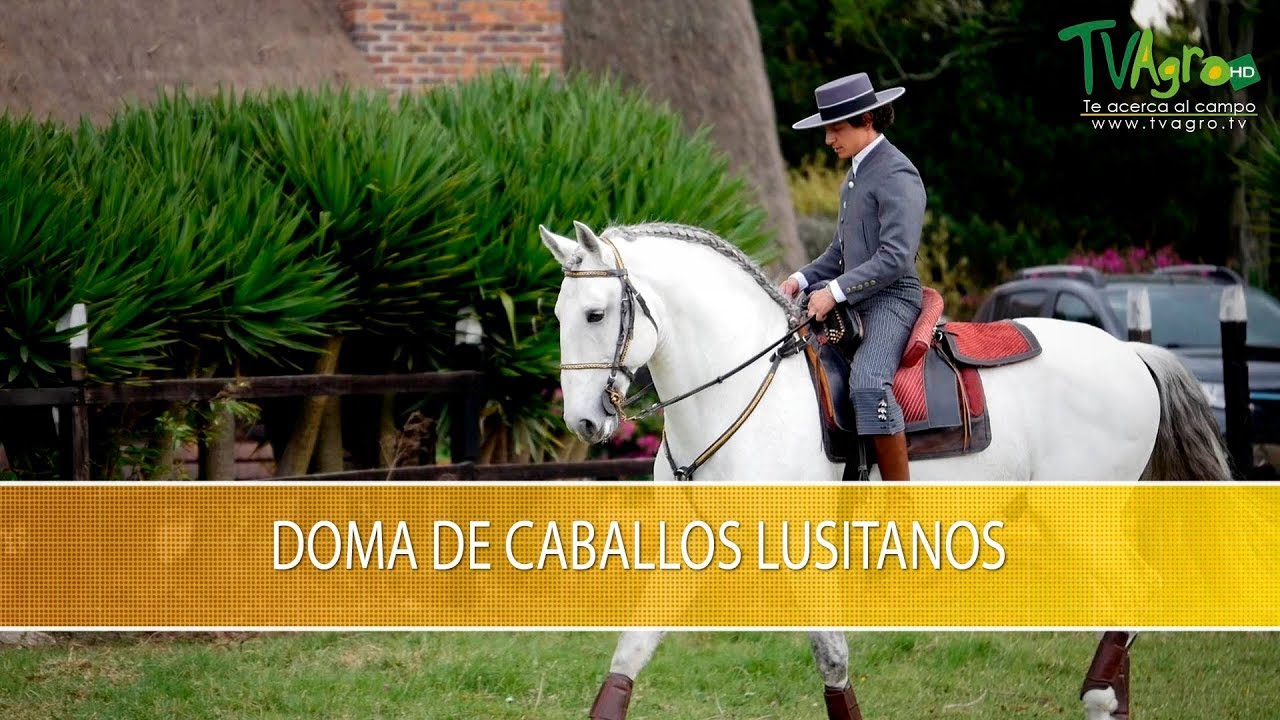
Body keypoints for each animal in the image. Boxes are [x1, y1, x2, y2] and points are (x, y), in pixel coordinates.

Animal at [538, 220, 1229, 720]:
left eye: (596, 315)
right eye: (559, 317)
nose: (584, 423)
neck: (737, 394)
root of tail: (1131, 353)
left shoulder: (803, 553)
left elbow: (832, 657)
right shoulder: (690, 548)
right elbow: (631, 647)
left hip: (1082, 516)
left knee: (1138, 589)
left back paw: (1099, 692)